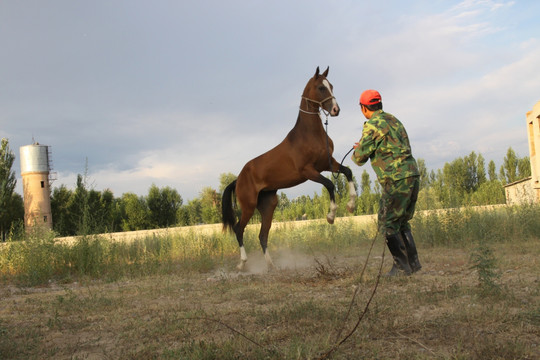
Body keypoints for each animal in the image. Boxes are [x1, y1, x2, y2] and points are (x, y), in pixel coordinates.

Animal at [221, 67, 356, 270]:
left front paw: (351, 205)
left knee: (262, 234)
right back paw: (242, 264)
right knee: (239, 229)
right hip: (249, 206)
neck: (309, 135)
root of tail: (238, 178)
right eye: (320, 87)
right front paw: (331, 216)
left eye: (331, 85)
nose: (335, 110)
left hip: (268, 206)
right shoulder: (309, 171)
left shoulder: (328, 163)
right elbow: (330, 185)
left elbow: (348, 172)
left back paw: (271, 265)